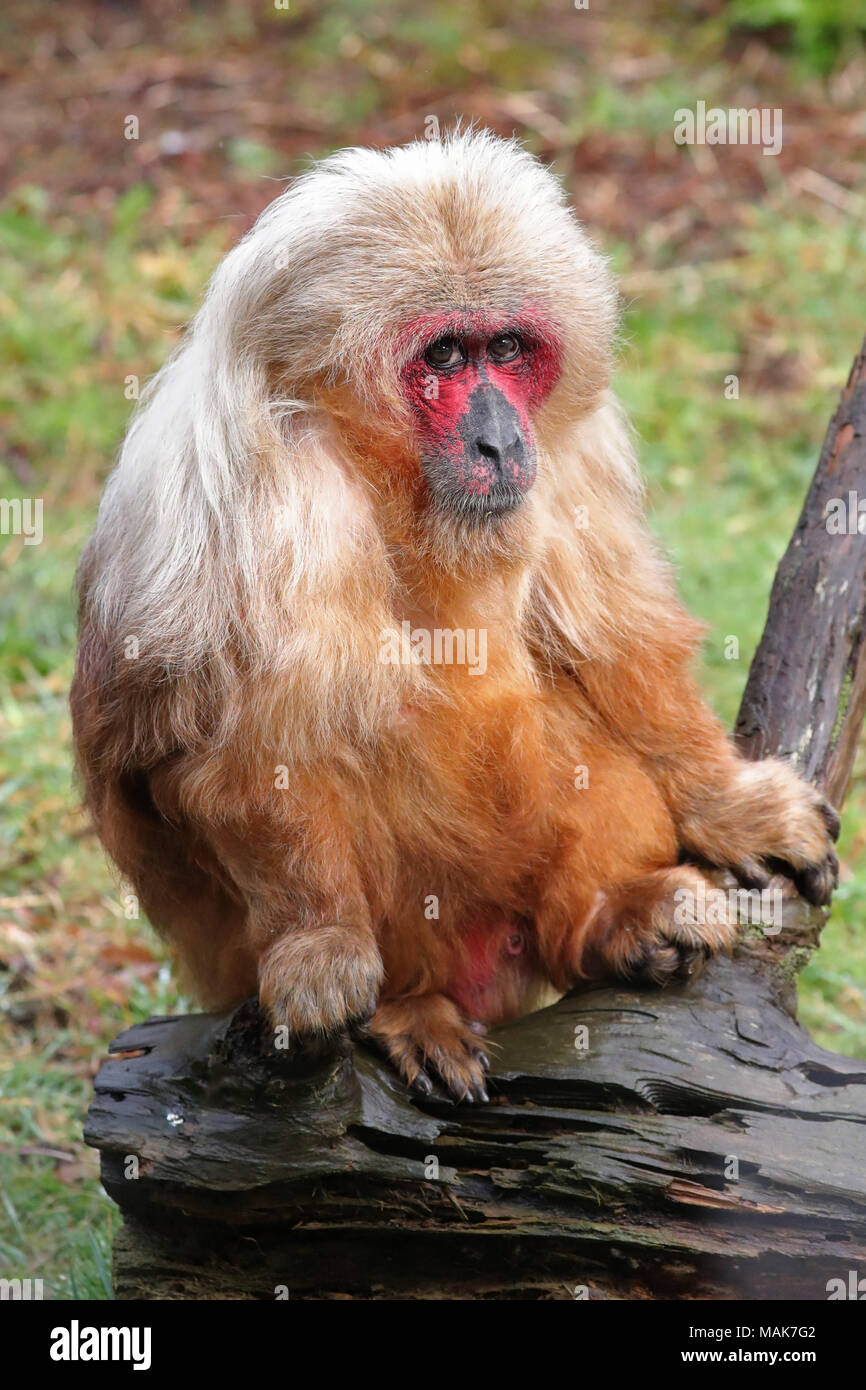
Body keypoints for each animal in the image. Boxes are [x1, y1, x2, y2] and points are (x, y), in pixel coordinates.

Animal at [71, 130, 840, 1103]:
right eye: (441, 359)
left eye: (505, 348)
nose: (498, 440)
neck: (385, 471)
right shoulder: (268, 495)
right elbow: (243, 748)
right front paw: (321, 936)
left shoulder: (568, 439)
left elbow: (611, 634)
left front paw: (726, 803)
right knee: (358, 718)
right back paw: (413, 1003)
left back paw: (606, 919)